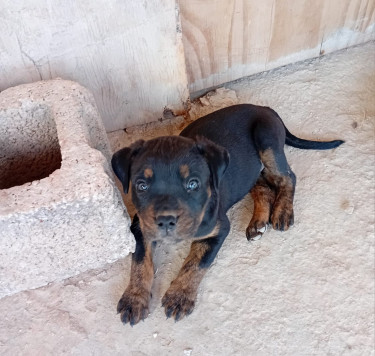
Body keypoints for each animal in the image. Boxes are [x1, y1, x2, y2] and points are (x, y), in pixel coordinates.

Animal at [111, 103, 344, 326]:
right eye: (141, 186)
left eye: (193, 183)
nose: (166, 221)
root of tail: (264, 108)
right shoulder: (141, 226)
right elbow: (140, 262)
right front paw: (134, 299)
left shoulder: (219, 229)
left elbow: (196, 263)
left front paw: (180, 296)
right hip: (248, 169)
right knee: (263, 187)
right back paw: (257, 222)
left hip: (267, 141)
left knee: (287, 177)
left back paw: (283, 211)